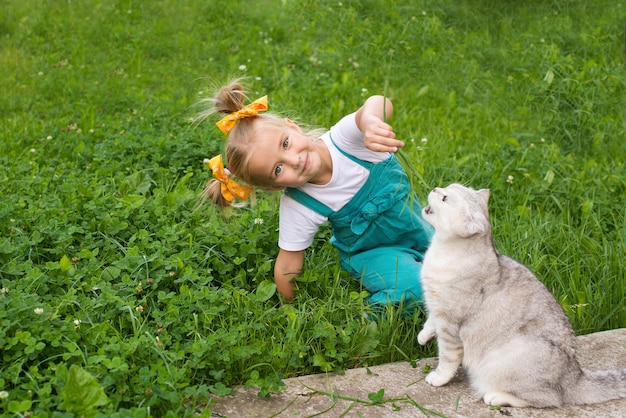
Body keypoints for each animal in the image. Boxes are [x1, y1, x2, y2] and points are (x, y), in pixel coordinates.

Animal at [414, 184, 624, 408]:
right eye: (448, 186)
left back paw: (496, 397)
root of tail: (575, 376)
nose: (435, 188)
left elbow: (447, 357)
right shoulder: (436, 307)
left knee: (549, 399)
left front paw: (438, 377)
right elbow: (430, 322)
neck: (440, 251)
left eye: (445, 198)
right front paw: (423, 336)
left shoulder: (450, 324)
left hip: (508, 361)